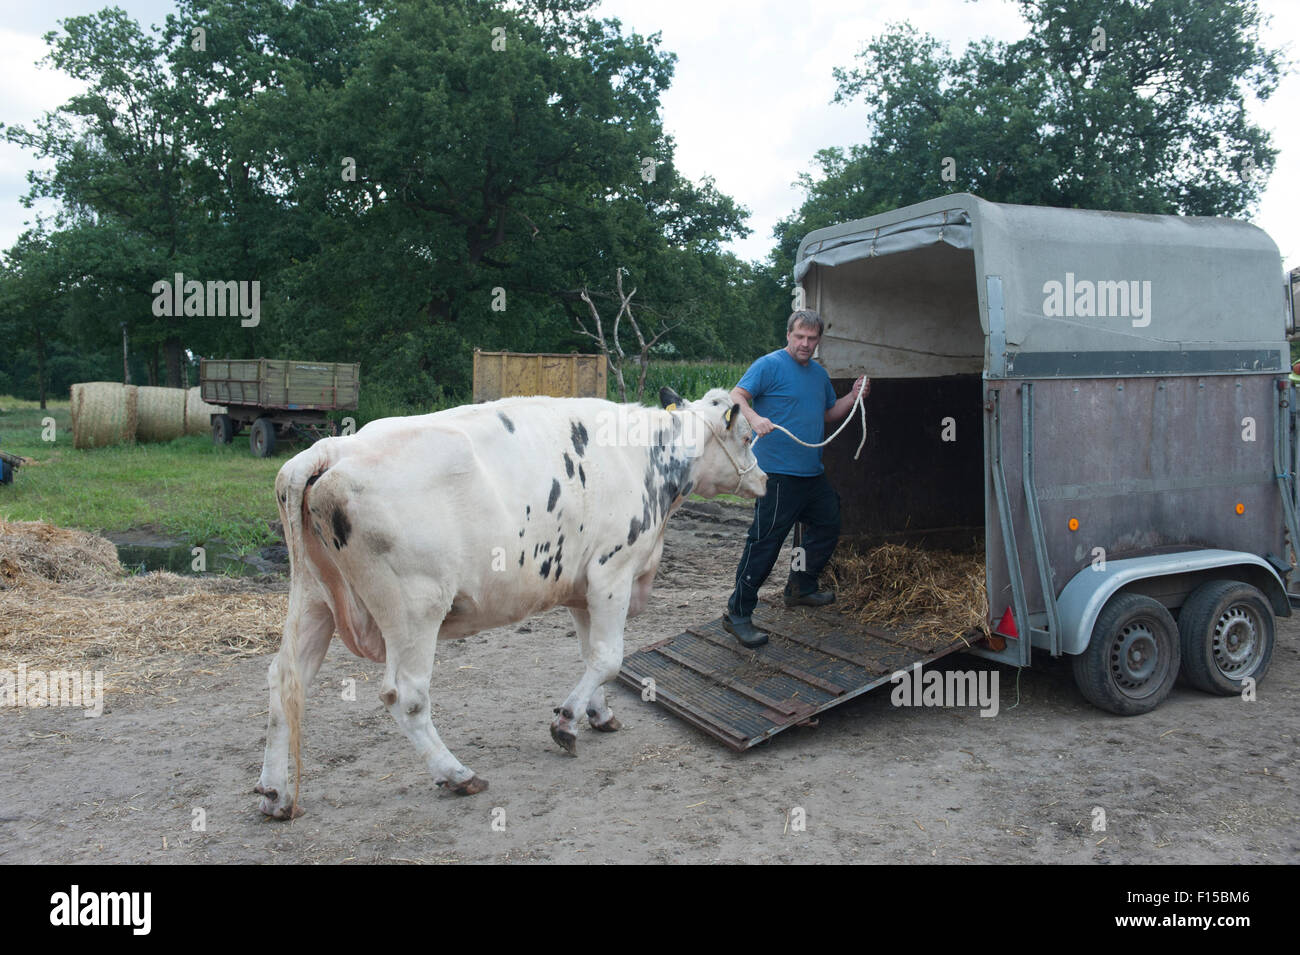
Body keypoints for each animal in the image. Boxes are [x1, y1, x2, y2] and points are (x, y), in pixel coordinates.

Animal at [253, 384, 764, 815]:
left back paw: (275, 791)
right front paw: (565, 723)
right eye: (745, 435)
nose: (762, 480)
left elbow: (592, 656)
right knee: (406, 696)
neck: (647, 458)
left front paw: (597, 714)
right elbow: (610, 658)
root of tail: (331, 449)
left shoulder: (582, 586)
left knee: (286, 678)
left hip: (313, 598)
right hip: (414, 608)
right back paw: (457, 774)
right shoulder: (611, 573)